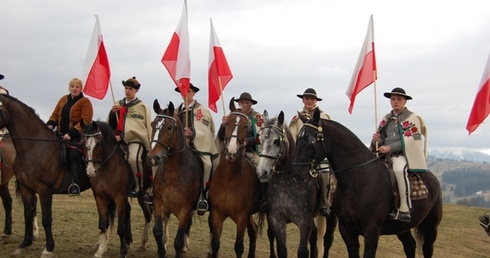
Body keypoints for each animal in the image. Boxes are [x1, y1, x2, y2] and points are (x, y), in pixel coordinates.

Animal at [0, 94, 92, 256]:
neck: (32, 147)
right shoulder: (26, 188)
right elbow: (28, 215)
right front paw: (25, 243)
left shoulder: (44, 190)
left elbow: (47, 219)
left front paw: (48, 248)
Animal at [81, 121, 152, 258]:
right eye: (83, 142)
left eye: (98, 142)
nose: (90, 171)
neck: (108, 167)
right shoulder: (100, 197)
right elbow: (103, 224)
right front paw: (100, 250)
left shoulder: (119, 198)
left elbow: (120, 227)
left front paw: (123, 251)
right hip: (142, 195)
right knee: (148, 215)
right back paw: (142, 244)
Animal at [147, 99, 201, 258]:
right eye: (153, 124)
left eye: (170, 127)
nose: (153, 158)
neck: (173, 173)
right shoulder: (159, 204)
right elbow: (157, 231)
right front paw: (161, 251)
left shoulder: (184, 210)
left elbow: (178, 240)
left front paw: (180, 246)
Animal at [207, 97, 264, 258]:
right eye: (227, 123)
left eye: (245, 126)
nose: (231, 151)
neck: (229, 178)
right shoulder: (217, 214)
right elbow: (215, 243)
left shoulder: (241, 217)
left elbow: (238, 247)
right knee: (253, 231)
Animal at [294, 109, 444, 258]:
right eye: (298, 139)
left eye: (311, 141)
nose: (297, 174)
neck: (359, 179)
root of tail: (433, 178)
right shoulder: (347, 230)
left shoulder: (372, 231)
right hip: (402, 228)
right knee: (410, 246)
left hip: (431, 226)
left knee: (427, 248)